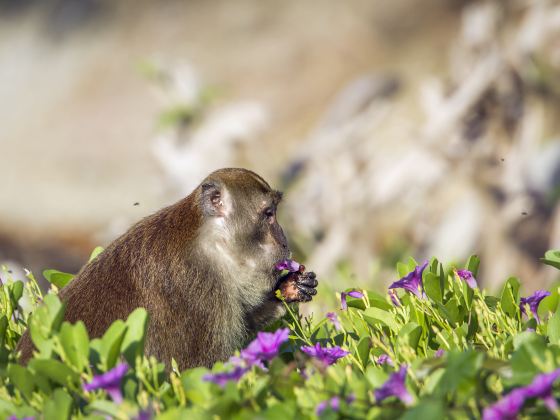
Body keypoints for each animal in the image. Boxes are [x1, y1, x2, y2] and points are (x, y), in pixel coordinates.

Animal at [16, 167, 320, 368]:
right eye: (268, 215)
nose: (283, 239)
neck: (208, 243)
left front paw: (290, 287)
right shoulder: (197, 290)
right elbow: (202, 368)